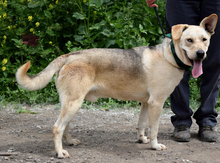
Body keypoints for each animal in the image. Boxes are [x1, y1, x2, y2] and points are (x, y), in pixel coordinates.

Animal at [16, 13, 217, 158]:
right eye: (189, 40)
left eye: (204, 40)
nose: (201, 54)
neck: (170, 56)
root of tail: (69, 56)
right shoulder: (156, 103)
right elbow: (154, 129)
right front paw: (154, 145)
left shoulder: (146, 103)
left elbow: (141, 125)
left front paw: (142, 139)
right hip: (73, 104)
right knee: (57, 128)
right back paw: (60, 152)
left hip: (71, 104)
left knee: (64, 128)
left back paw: (70, 142)